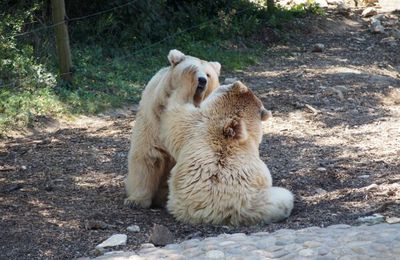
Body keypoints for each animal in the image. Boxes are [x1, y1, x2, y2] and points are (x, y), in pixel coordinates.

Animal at [124, 48, 220, 208]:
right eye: (193, 69)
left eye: (208, 74)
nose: (202, 81)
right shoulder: (154, 120)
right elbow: (147, 155)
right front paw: (136, 200)